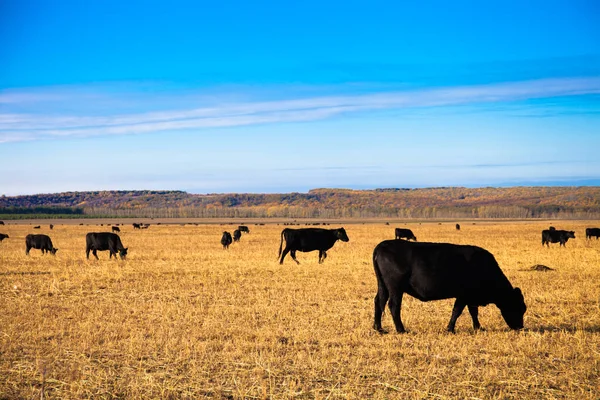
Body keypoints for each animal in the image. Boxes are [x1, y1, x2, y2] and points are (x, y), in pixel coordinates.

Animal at [370, 239, 524, 332]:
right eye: (519, 307)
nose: (520, 327)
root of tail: (383, 245)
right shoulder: (464, 295)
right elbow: (457, 311)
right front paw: (450, 329)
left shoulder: (470, 297)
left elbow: (473, 312)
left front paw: (478, 327)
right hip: (395, 288)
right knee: (393, 305)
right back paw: (401, 329)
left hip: (383, 286)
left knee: (379, 301)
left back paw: (379, 328)